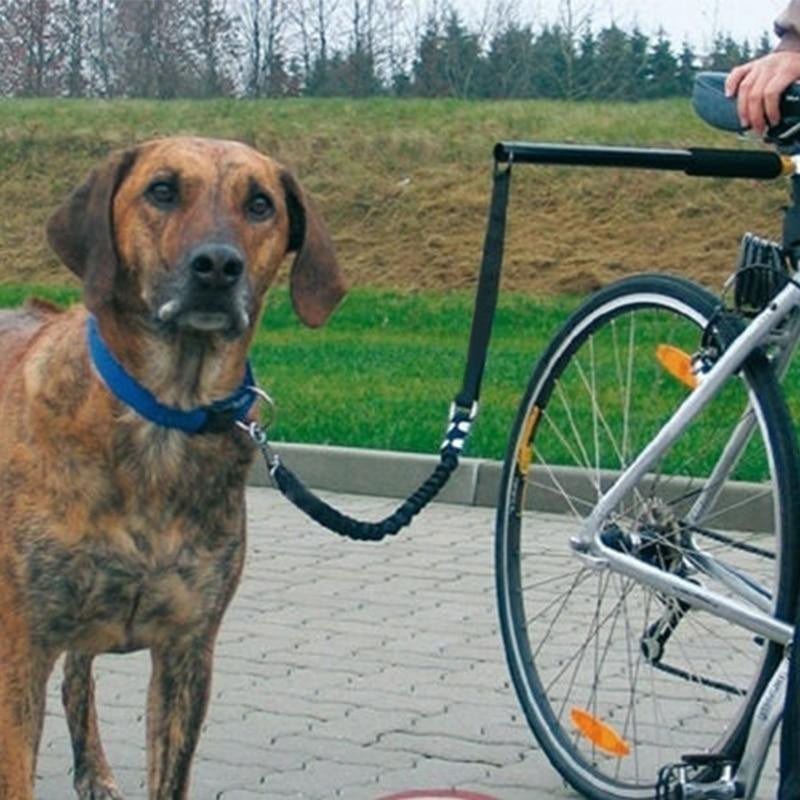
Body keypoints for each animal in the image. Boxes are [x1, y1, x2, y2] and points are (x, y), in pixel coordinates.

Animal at [0, 139, 346, 800]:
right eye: (161, 191)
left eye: (260, 204)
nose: (216, 266)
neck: (163, 419)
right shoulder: (20, 645)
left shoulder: (188, 648)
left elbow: (169, 772)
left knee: (78, 676)